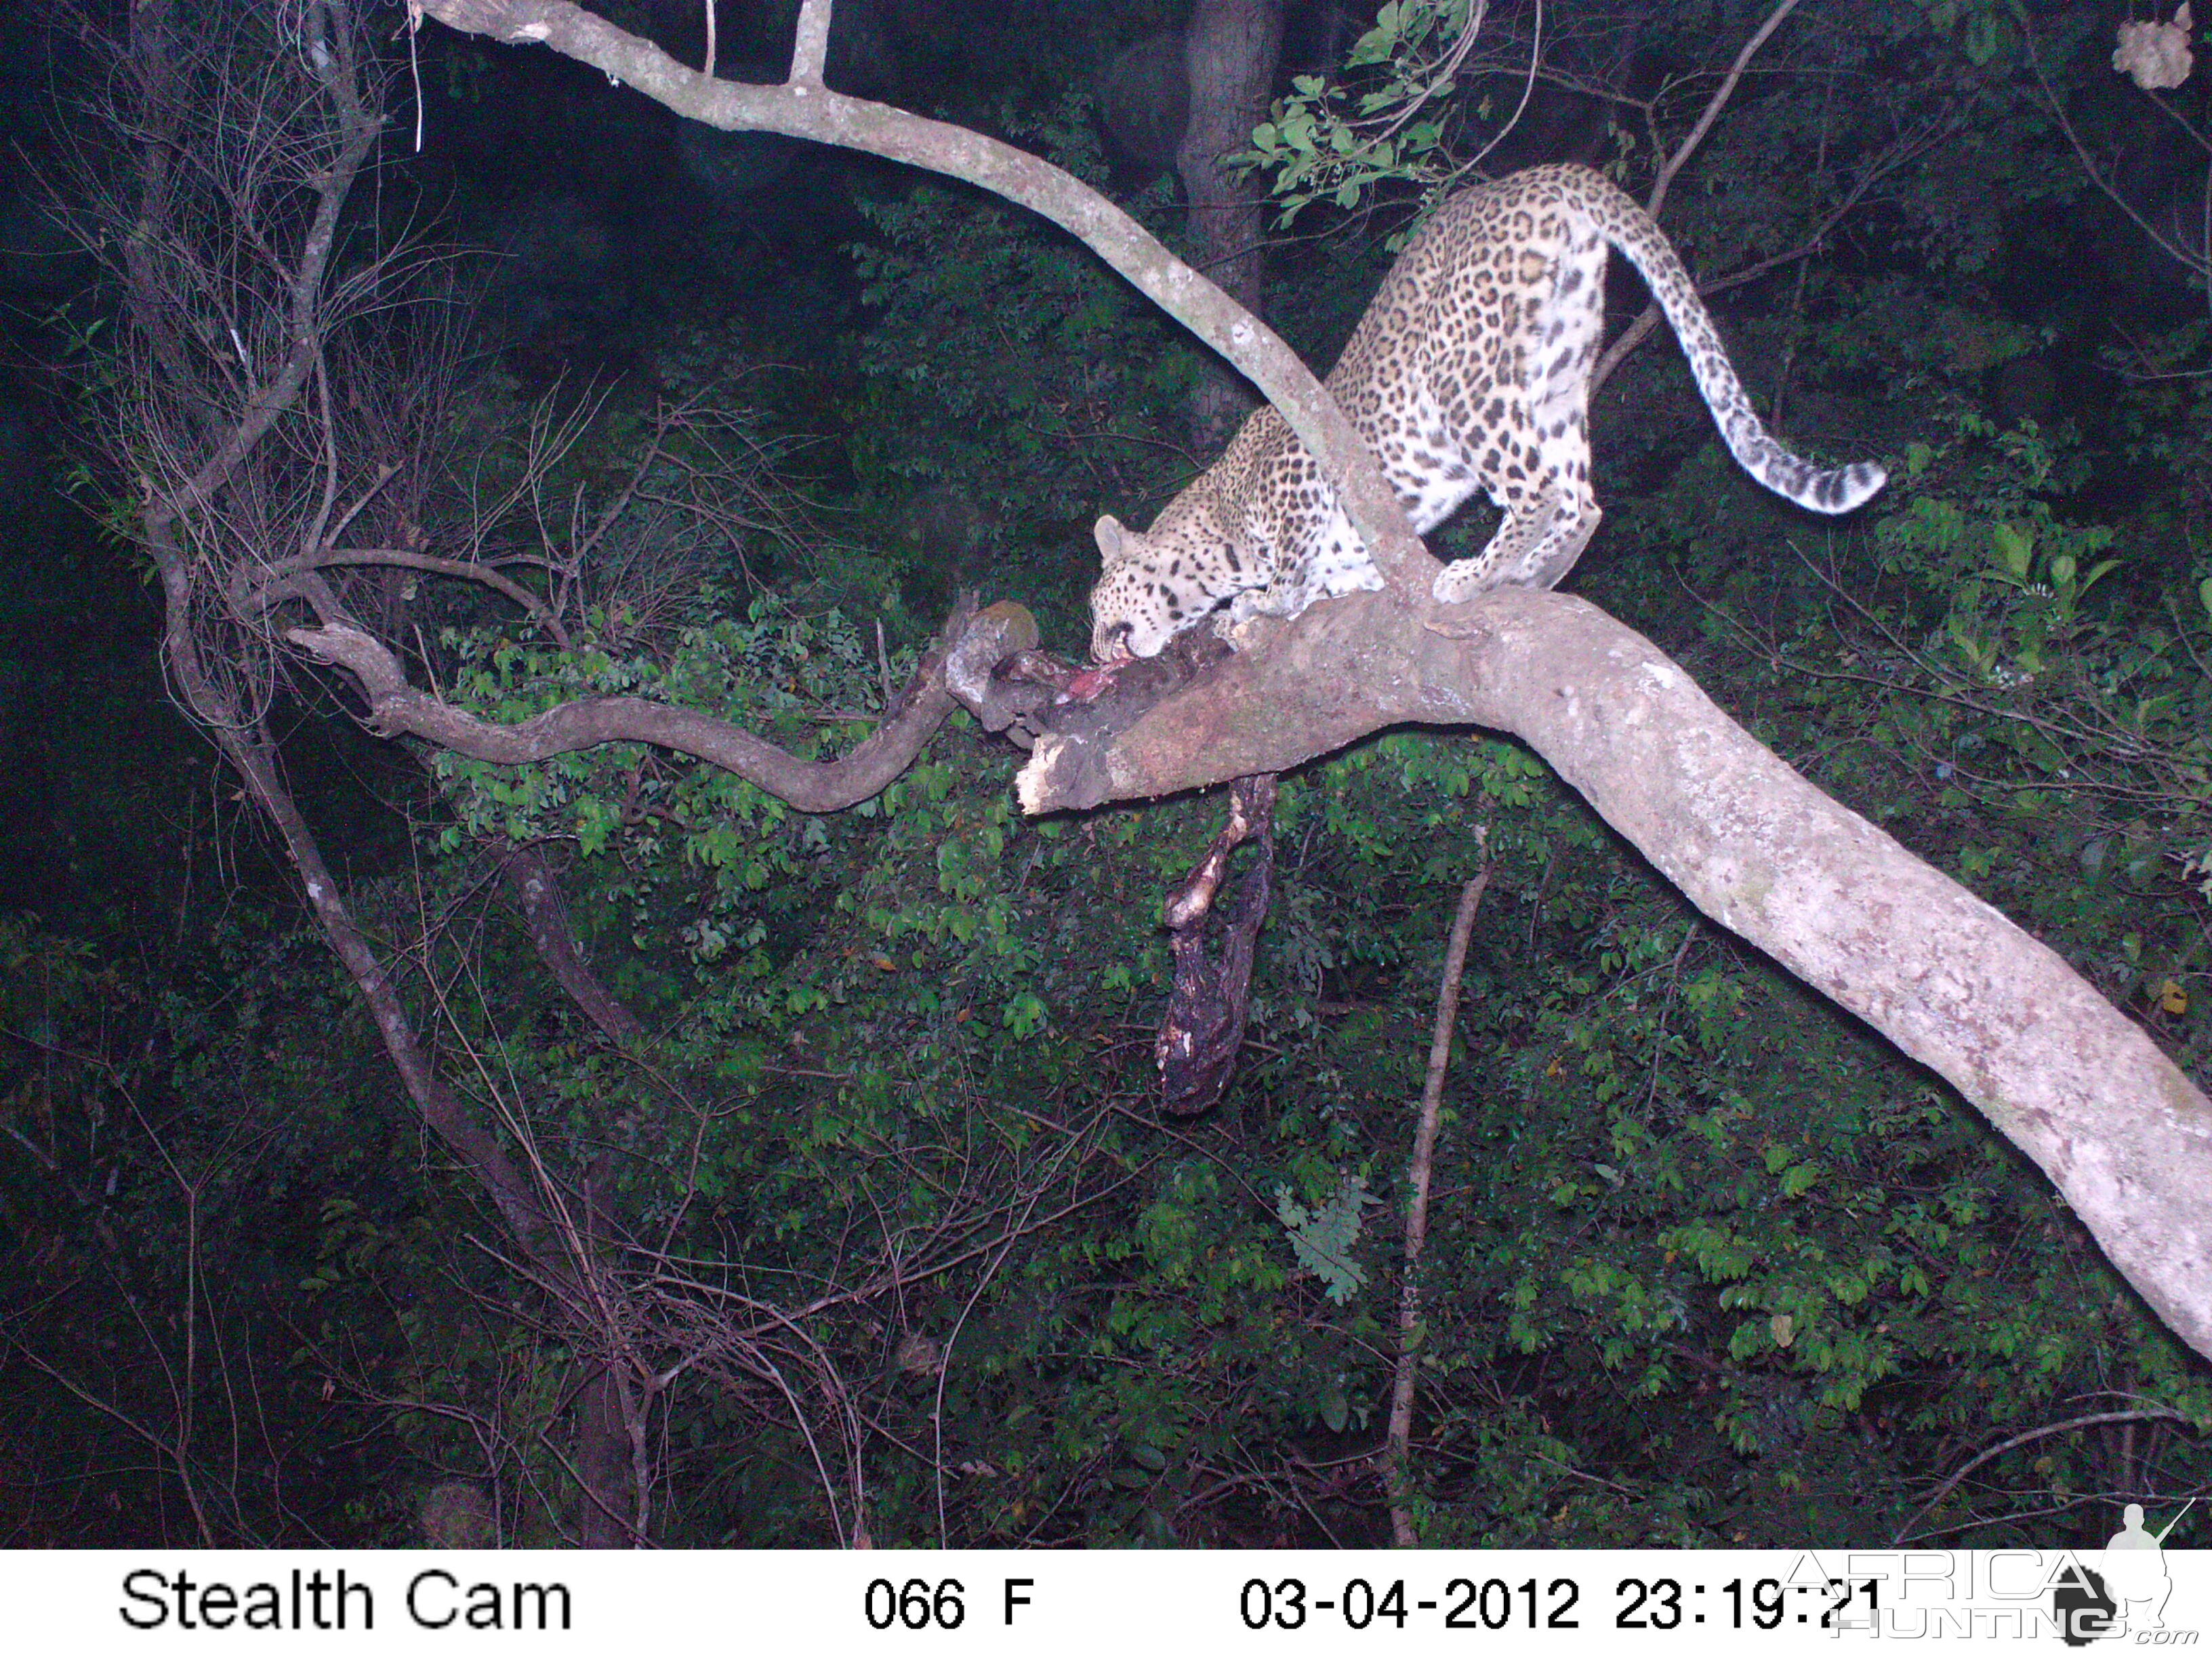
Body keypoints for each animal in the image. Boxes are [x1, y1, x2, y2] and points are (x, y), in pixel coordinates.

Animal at [1088, 163, 1884, 663]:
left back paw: (1473, 575)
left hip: (1461, 377)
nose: (1095, 655)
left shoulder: (1297, 480)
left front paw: (1260, 605)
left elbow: (1289, 569)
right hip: (1557, 370)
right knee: (1584, 497)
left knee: (1541, 489)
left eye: (1097, 611)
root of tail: (1547, 174)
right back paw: (1533, 574)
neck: (1215, 539)